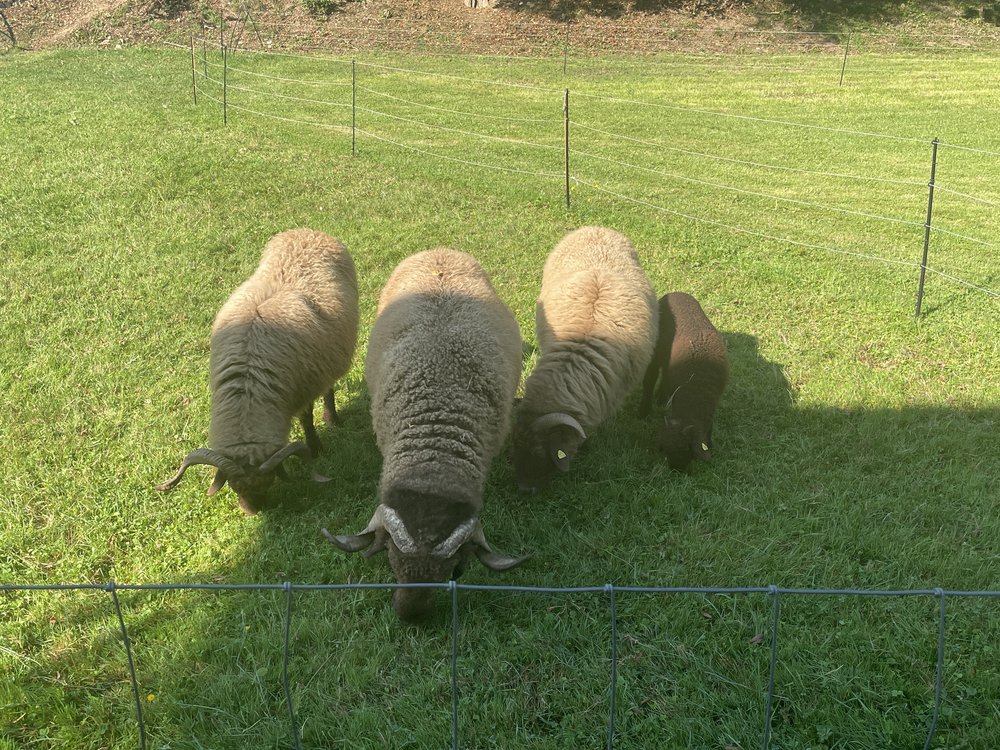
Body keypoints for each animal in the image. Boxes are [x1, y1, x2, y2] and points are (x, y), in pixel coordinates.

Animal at [154, 226, 358, 516]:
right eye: (232, 485)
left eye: (270, 481)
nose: (254, 512)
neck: (249, 390)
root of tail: (307, 230)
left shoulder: (304, 386)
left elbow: (306, 418)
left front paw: (316, 447)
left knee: (328, 388)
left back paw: (332, 418)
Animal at [640, 292, 728, 472]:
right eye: (665, 451)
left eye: (686, 448)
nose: (676, 470)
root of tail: (674, 293)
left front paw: (710, 443)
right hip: (657, 348)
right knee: (651, 378)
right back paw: (644, 409)